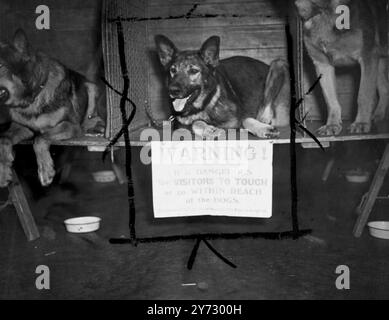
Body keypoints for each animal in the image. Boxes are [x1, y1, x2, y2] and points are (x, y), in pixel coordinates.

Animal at [153, 34, 290, 138]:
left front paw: (262, 128)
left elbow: (244, 119)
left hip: (278, 64)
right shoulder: (180, 126)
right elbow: (195, 123)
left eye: (193, 71)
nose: (173, 90)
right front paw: (209, 129)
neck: (203, 105)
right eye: (173, 70)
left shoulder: (235, 119)